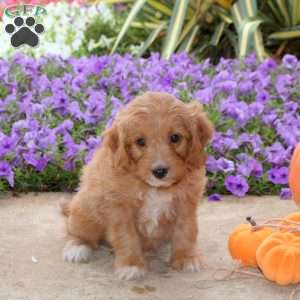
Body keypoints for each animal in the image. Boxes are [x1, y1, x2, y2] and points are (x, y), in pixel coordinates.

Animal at [61, 92, 213, 282]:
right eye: (140, 141)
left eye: (175, 137)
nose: (160, 171)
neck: (154, 188)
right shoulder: (119, 208)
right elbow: (126, 237)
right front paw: (131, 265)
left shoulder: (186, 202)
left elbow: (186, 230)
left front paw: (186, 258)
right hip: (85, 213)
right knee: (74, 230)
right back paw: (77, 247)